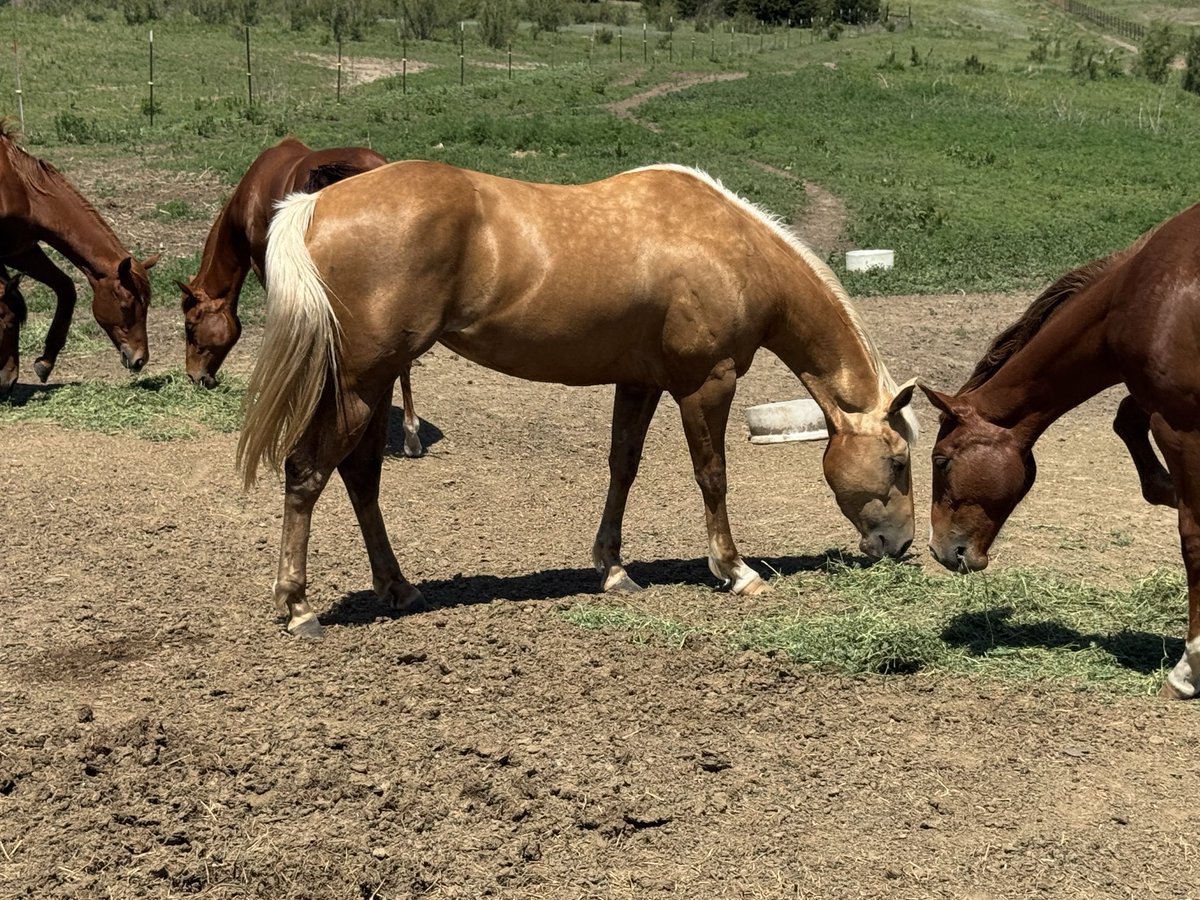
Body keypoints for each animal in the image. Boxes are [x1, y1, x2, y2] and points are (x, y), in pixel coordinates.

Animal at [0, 123, 158, 395]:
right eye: (126, 305)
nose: (140, 359)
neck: (19, 185)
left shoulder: (21, 249)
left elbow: (66, 288)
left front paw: (46, 362)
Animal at [236, 161, 919, 638]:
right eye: (900, 461)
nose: (901, 544)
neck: (732, 248)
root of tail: (314, 204)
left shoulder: (640, 382)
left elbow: (624, 467)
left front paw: (614, 569)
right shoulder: (707, 383)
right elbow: (713, 474)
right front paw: (735, 569)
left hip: (373, 384)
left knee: (358, 476)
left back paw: (397, 588)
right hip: (360, 383)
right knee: (306, 471)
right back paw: (298, 606)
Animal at [919, 201, 1200, 699]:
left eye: (941, 460)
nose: (939, 550)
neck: (1136, 294)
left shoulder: (1179, 424)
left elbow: (1193, 538)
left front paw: (1188, 670)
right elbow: (1125, 419)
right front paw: (1164, 488)